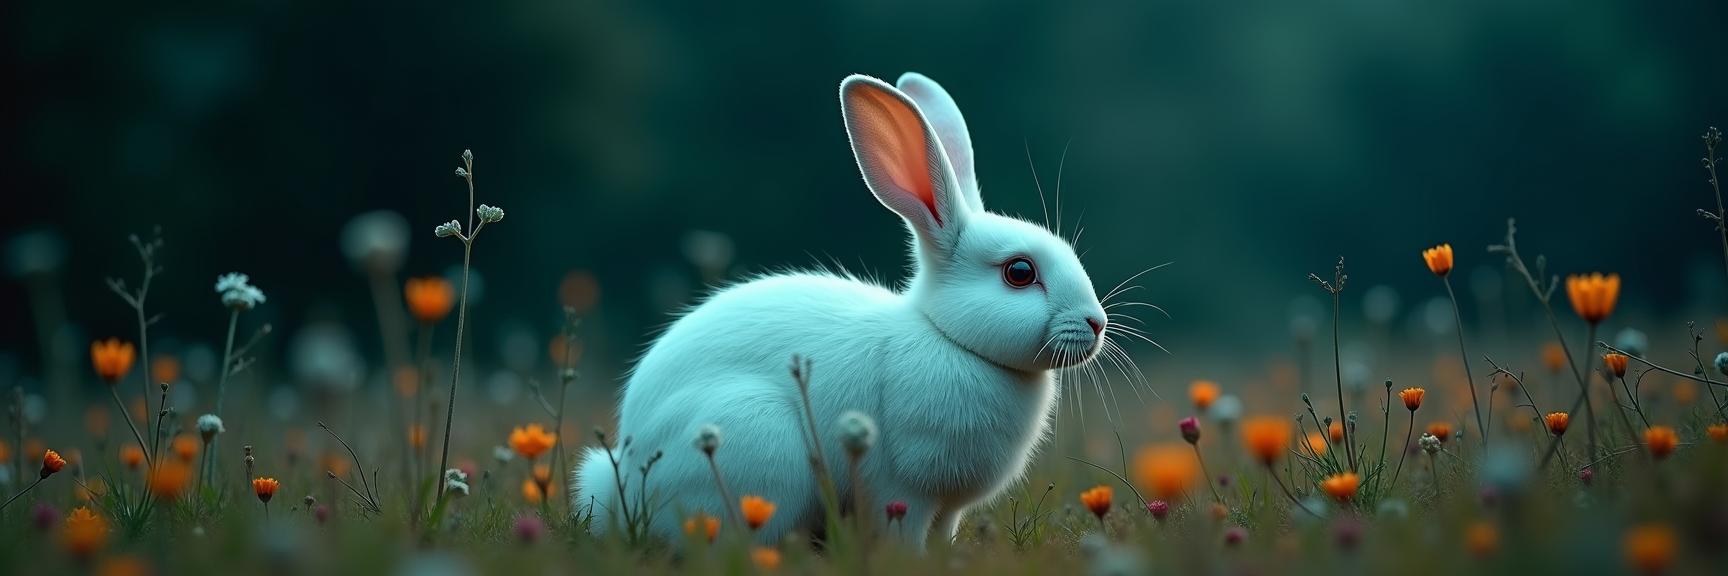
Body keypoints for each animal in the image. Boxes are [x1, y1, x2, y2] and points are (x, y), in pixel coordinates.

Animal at [573, 71, 1109, 550]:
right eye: (1019, 272)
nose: (1096, 323)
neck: (949, 338)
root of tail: (625, 480)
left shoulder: (947, 510)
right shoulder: (902, 488)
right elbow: (904, 535)